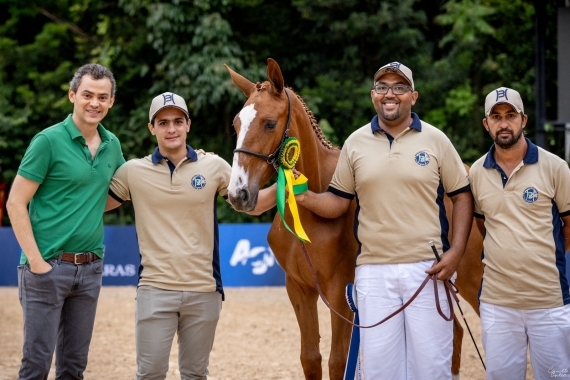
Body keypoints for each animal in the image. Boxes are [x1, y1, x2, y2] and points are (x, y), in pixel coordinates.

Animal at [224, 58, 482, 378]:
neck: (309, 218)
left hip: (474, 280)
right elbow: (310, 358)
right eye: (236, 124)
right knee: (454, 334)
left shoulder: (341, 294)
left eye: (270, 123)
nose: (238, 193)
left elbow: (338, 361)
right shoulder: (299, 290)